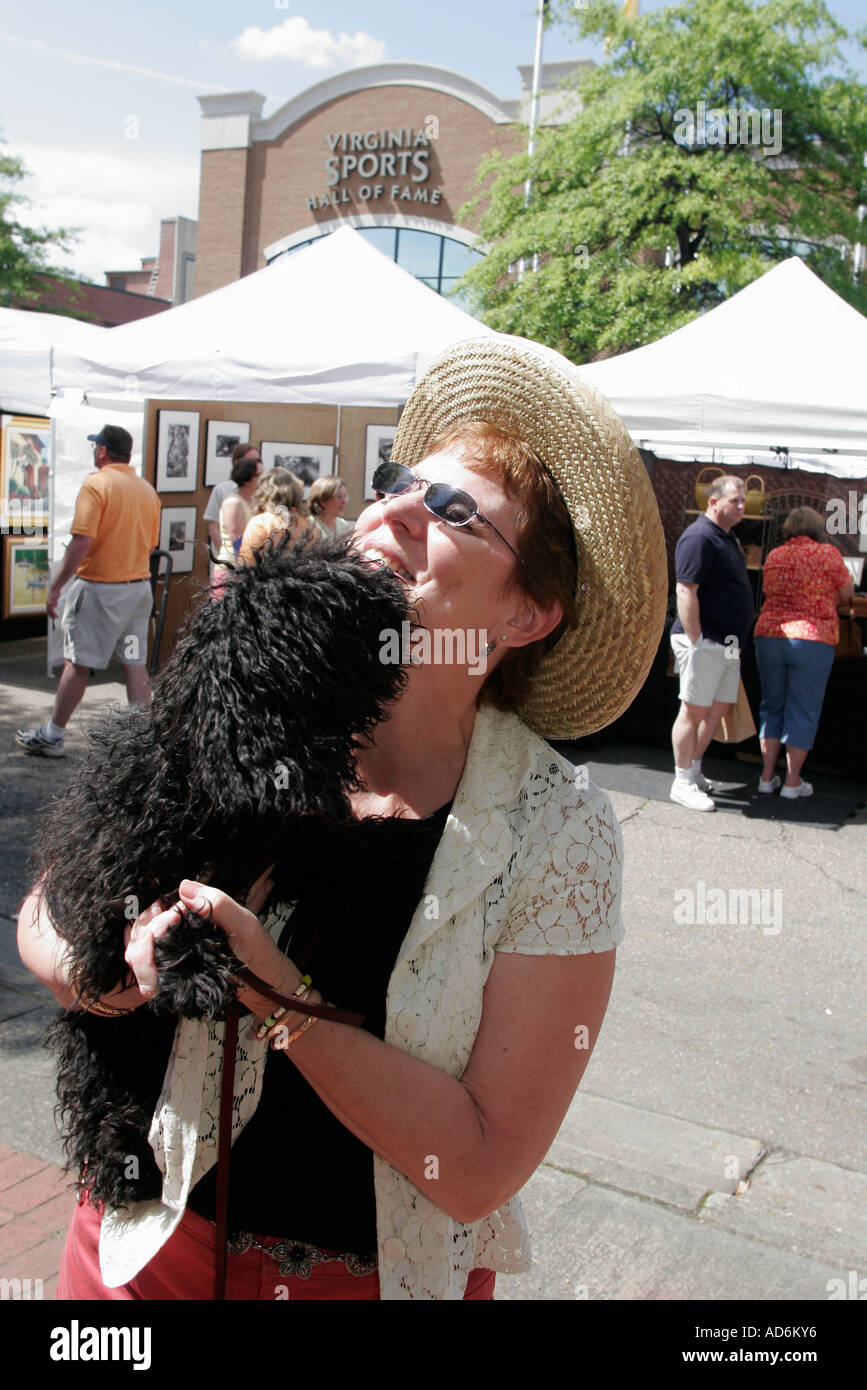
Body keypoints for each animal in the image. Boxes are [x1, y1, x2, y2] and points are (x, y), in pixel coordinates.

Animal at [33, 536, 414, 1212]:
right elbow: (183, 908)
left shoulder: (281, 840)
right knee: (96, 1086)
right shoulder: (111, 910)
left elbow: (325, 843)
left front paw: (391, 846)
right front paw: (192, 968)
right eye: (321, 613)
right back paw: (123, 1157)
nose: (388, 587)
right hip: (94, 1033)